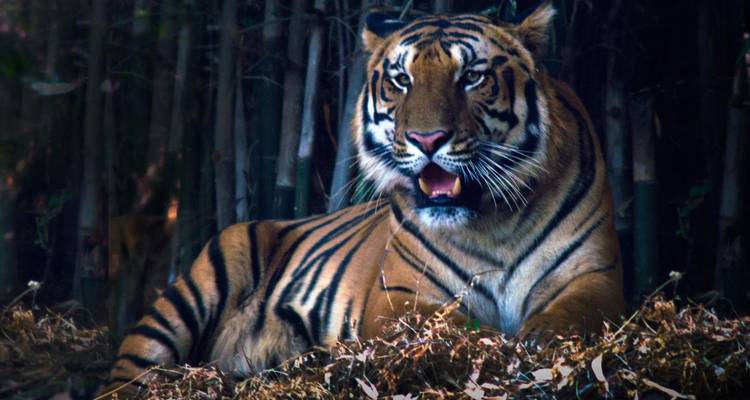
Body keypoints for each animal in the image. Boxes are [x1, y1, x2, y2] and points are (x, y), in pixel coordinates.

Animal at [102, 3, 624, 396]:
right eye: (401, 80)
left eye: (472, 76)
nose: (427, 139)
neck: (493, 220)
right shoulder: (400, 297)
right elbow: (456, 328)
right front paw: (499, 346)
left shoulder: (595, 276)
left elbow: (574, 314)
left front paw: (537, 340)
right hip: (195, 288)